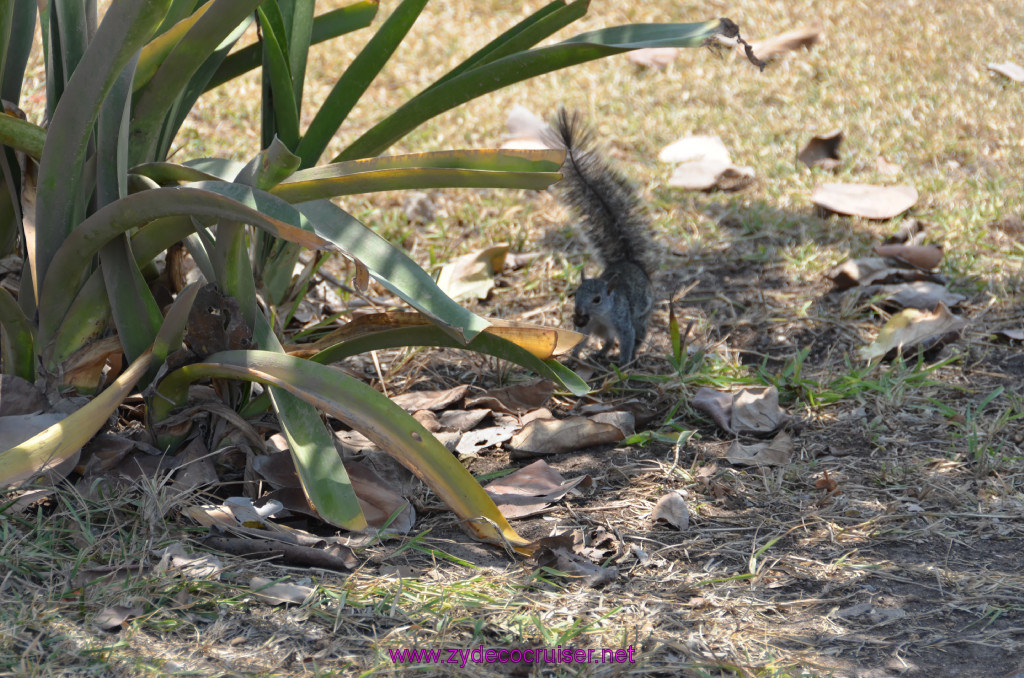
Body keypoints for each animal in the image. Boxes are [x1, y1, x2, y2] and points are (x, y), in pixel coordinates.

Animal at [548, 110, 659, 366]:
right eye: (575, 294)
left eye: (597, 299)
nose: (579, 312)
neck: (600, 315)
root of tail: (629, 261)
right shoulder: (589, 326)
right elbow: (581, 339)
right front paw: (573, 357)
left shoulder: (622, 321)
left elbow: (627, 340)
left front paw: (624, 362)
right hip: (602, 331)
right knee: (607, 341)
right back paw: (600, 352)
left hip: (640, 318)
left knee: (637, 335)